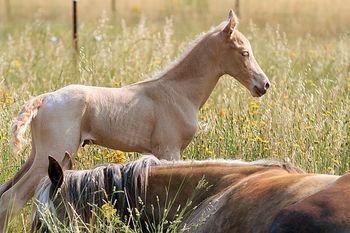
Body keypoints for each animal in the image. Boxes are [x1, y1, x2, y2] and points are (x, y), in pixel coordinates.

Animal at [0, 10, 270, 230]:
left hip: (37, 155)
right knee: (12, 199)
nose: (264, 85)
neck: (178, 92)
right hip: (53, 153)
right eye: (244, 52)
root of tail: (44, 98)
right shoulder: (169, 150)